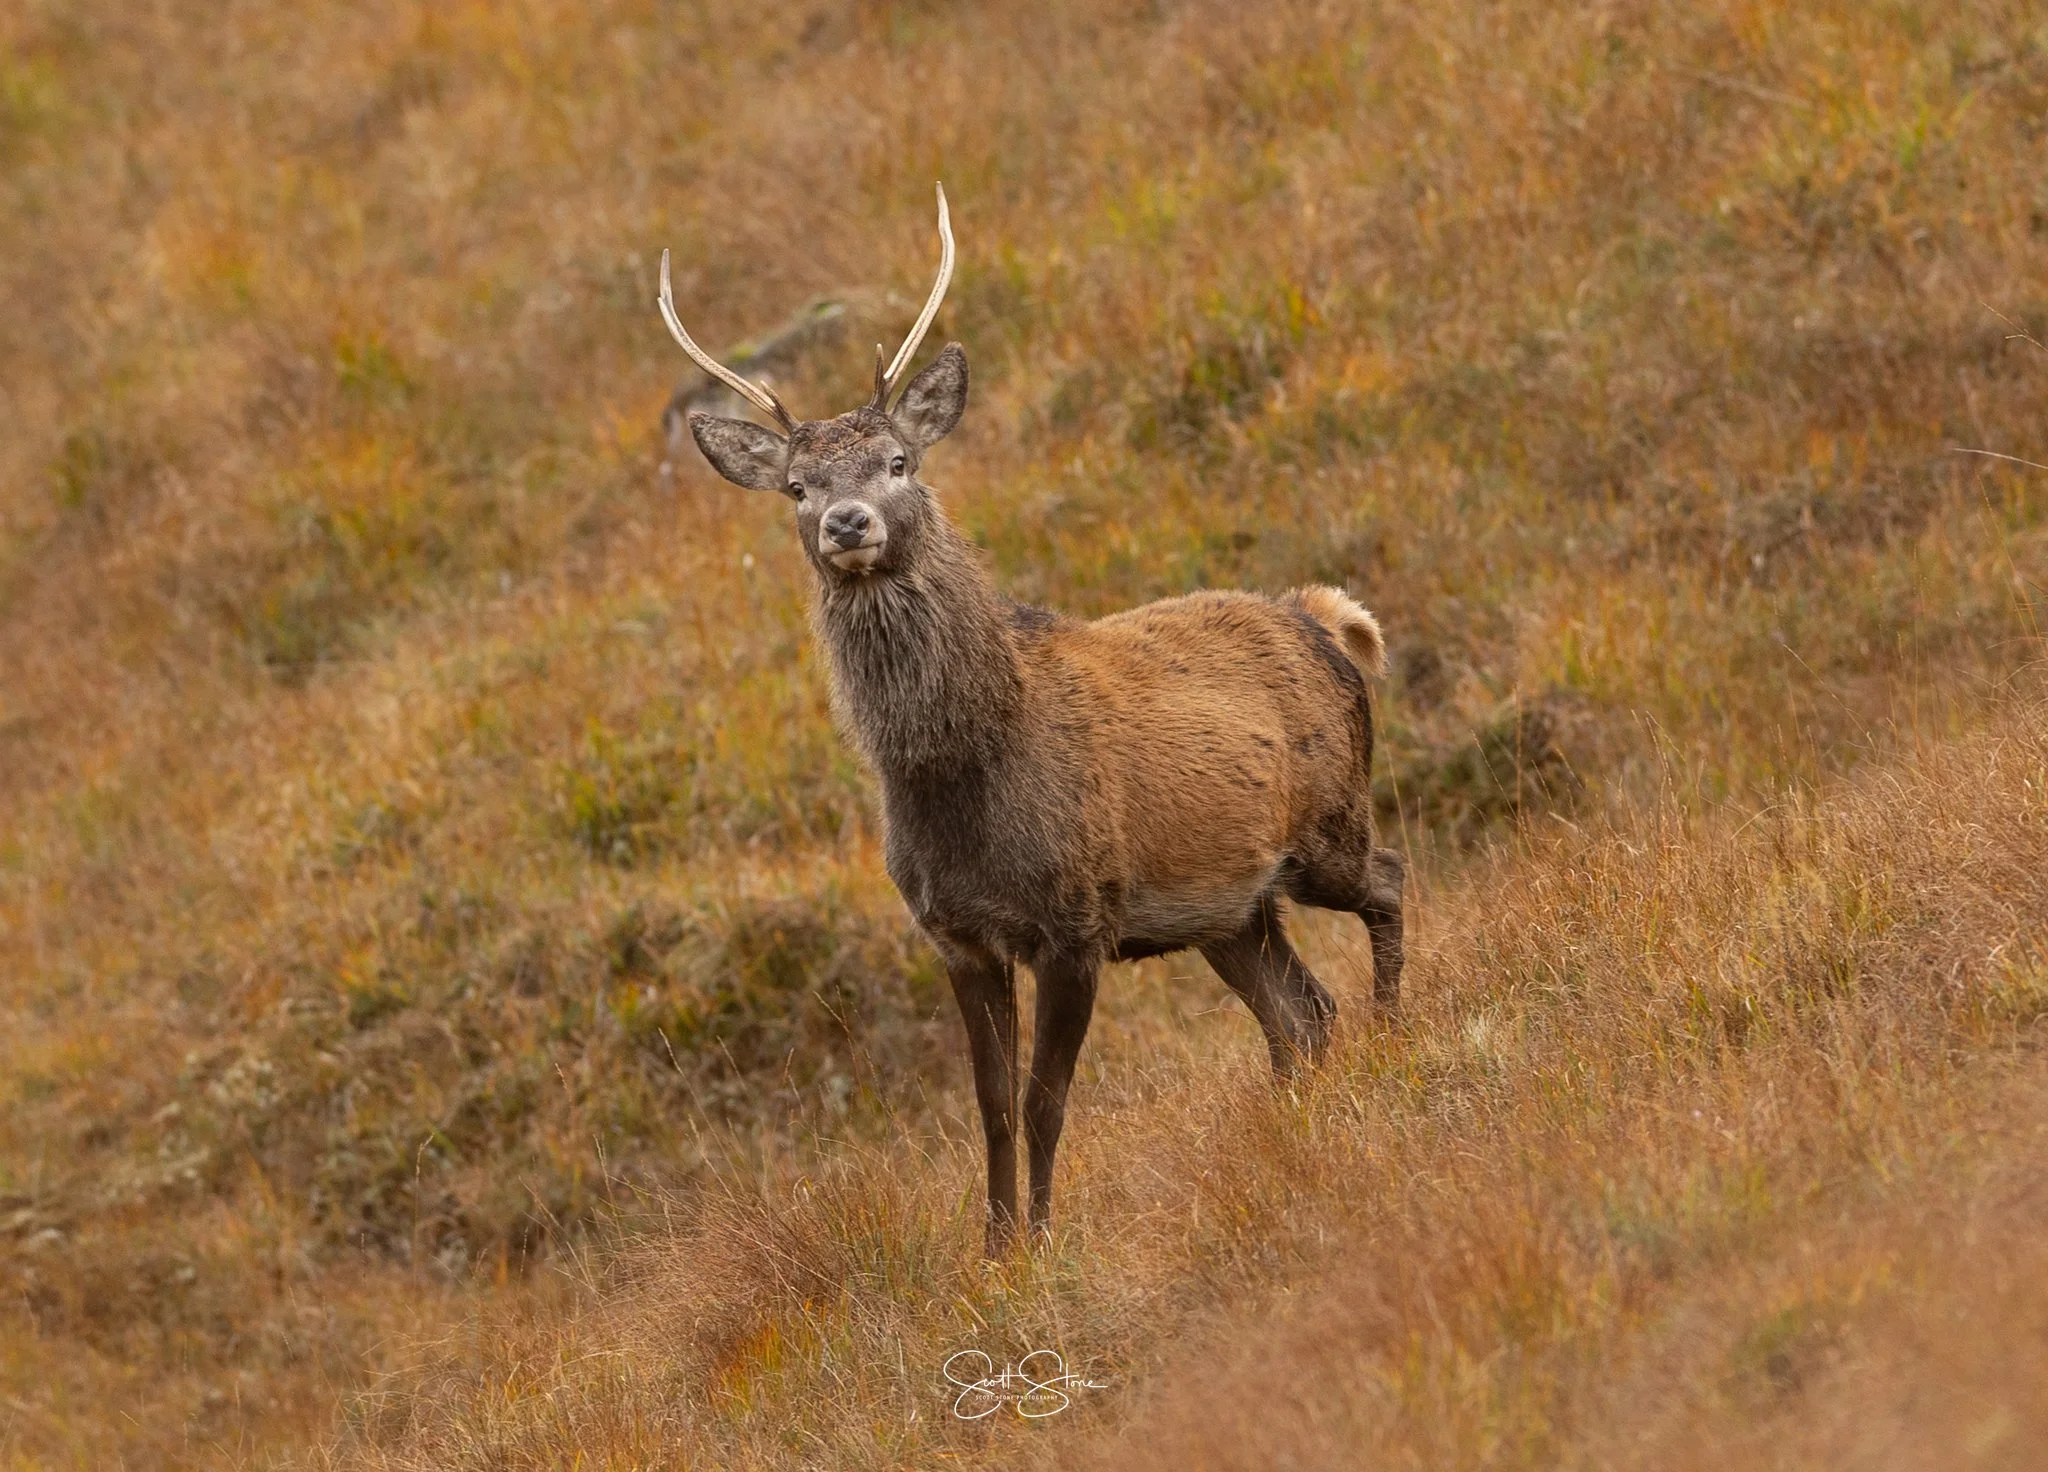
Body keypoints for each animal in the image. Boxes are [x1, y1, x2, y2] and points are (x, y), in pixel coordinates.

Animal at [660, 185, 1405, 1255]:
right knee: (1301, 1012)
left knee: (1388, 883)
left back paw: (1395, 1036)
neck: (965, 778)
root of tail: (1327, 620)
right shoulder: (956, 937)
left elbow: (1048, 1101)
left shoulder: (1075, 920)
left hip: (1328, 824)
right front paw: (993, 1249)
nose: (847, 522)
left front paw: (1043, 1244)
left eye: (898, 459)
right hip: (1230, 909)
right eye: (796, 487)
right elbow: (993, 1108)